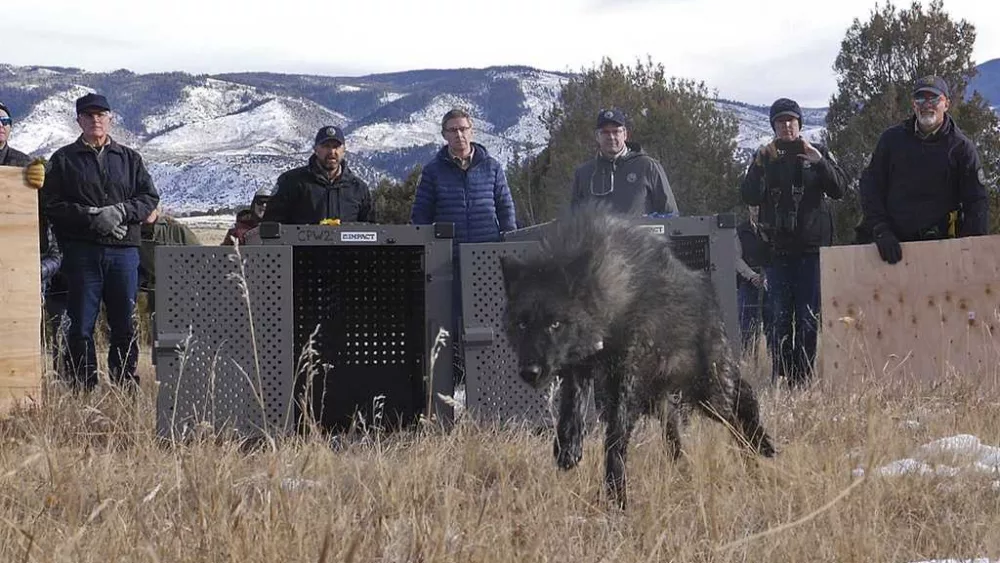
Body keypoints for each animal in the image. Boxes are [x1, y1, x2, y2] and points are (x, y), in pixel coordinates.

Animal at [500, 204, 776, 508]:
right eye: (522, 324)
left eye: (555, 323)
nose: (530, 372)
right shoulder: (580, 368)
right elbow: (572, 409)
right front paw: (569, 448)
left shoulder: (626, 380)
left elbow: (615, 438)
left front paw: (616, 496)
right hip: (665, 400)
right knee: (678, 432)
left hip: (708, 393)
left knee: (740, 408)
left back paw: (757, 452)